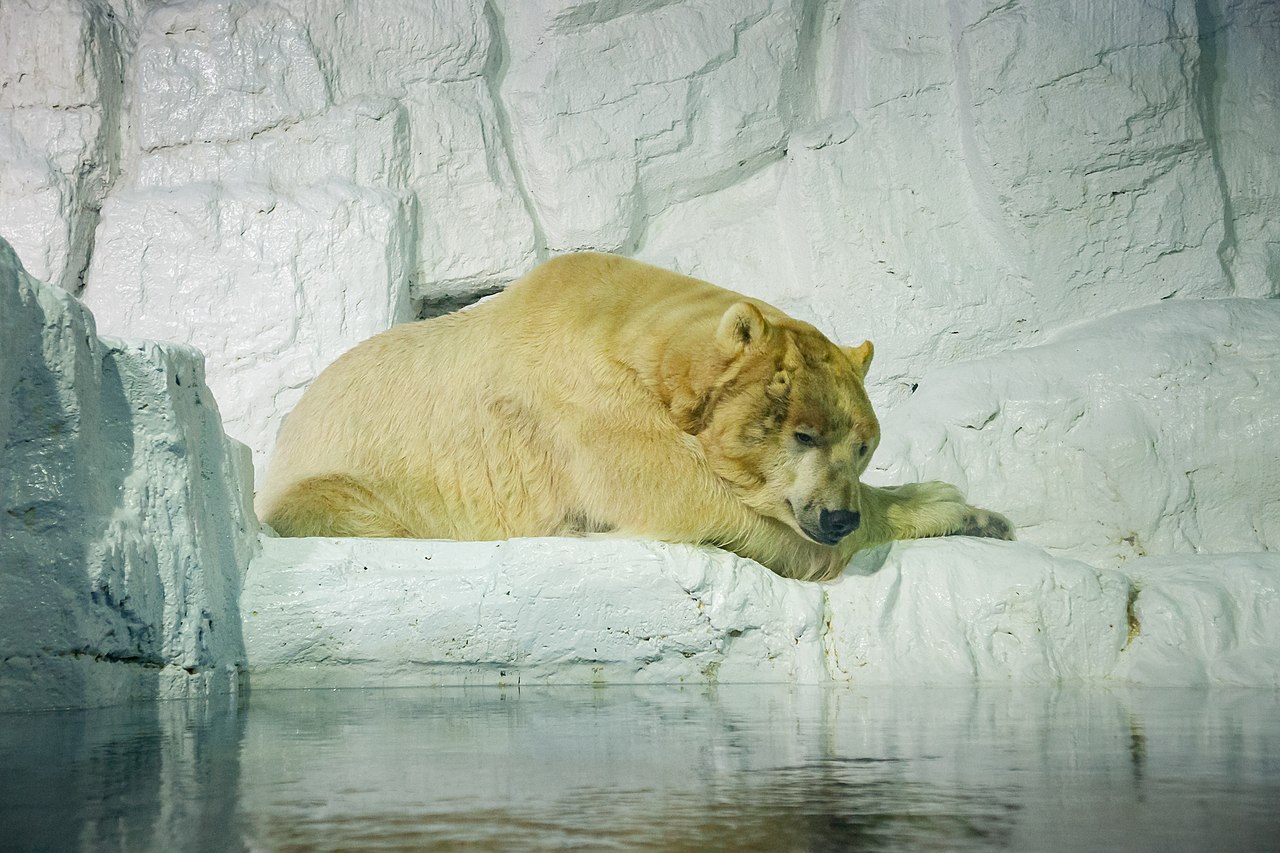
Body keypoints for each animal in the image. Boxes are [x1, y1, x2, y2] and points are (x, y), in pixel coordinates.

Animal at [257, 252, 1012, 581]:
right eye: (802, 433)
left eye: (862, 446)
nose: (837, 516)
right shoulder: (586, 407)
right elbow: (688, 498)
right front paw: (954, 504)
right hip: (343, 485)